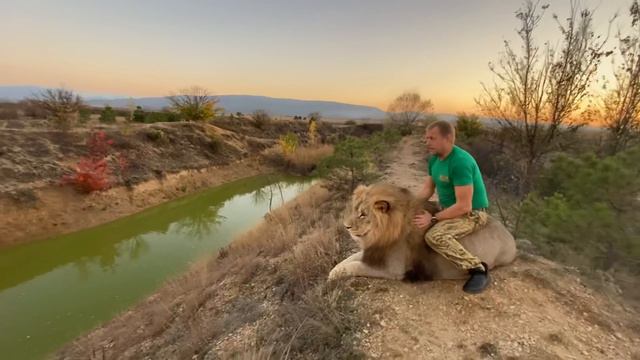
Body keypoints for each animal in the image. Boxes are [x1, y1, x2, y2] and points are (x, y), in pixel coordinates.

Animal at [328, 183, 516, 282]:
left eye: (363, 214)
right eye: (354, 210)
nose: (346, 226)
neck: (383, 234)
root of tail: (511, 237)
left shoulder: (393, 269)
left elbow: (355, 266)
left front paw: (334, 274)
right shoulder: (374, 251)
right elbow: (351, 258)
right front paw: (333, 269)